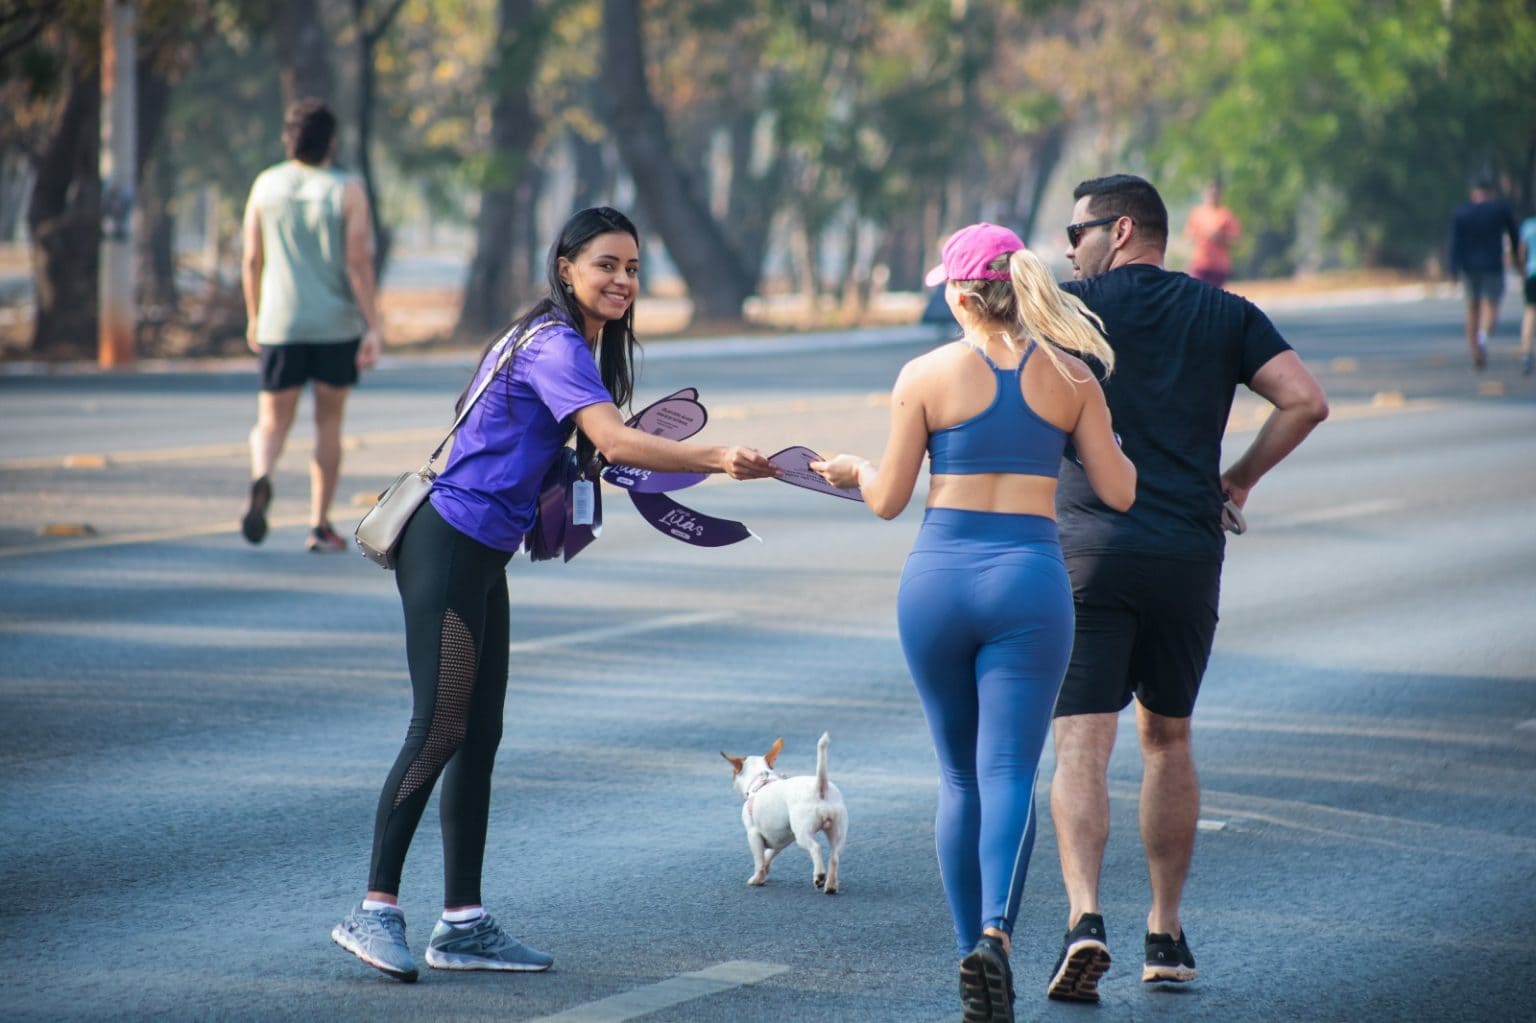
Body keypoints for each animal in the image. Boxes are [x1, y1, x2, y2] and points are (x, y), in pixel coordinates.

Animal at [721, 728, 854, 890]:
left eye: (733, 773)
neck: (761, 779)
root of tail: (820, 787)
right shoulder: (781, 839)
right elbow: (769, 854)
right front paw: (765, 871)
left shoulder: (753, 835)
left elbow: (759, 859)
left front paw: (757, 878)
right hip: (837, 832)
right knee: (834, 856)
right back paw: (831, 886)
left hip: (803, 834)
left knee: (815, 848)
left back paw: (819, 876)